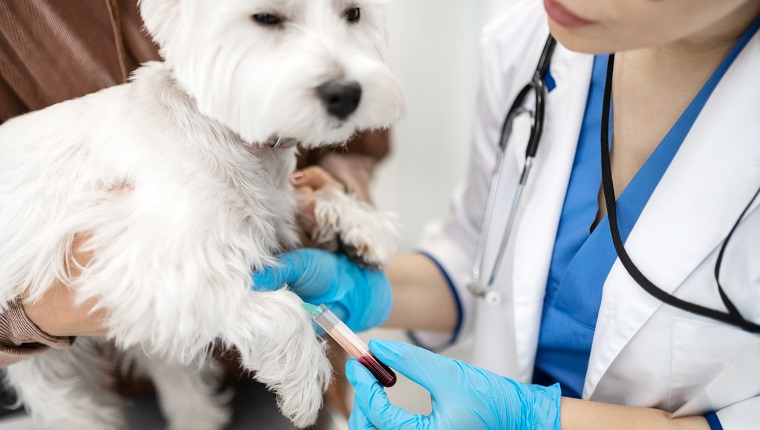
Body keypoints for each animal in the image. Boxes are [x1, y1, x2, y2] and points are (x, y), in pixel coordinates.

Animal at [1, 0, 404, 426]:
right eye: (266, 18)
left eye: (353, 14)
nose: (346, 93)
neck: (235, 138)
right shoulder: (147, 263)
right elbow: (284, 310)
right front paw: (304, 385)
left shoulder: (278, 207)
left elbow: (316, 194)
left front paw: (363, 229)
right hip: (49, 360)